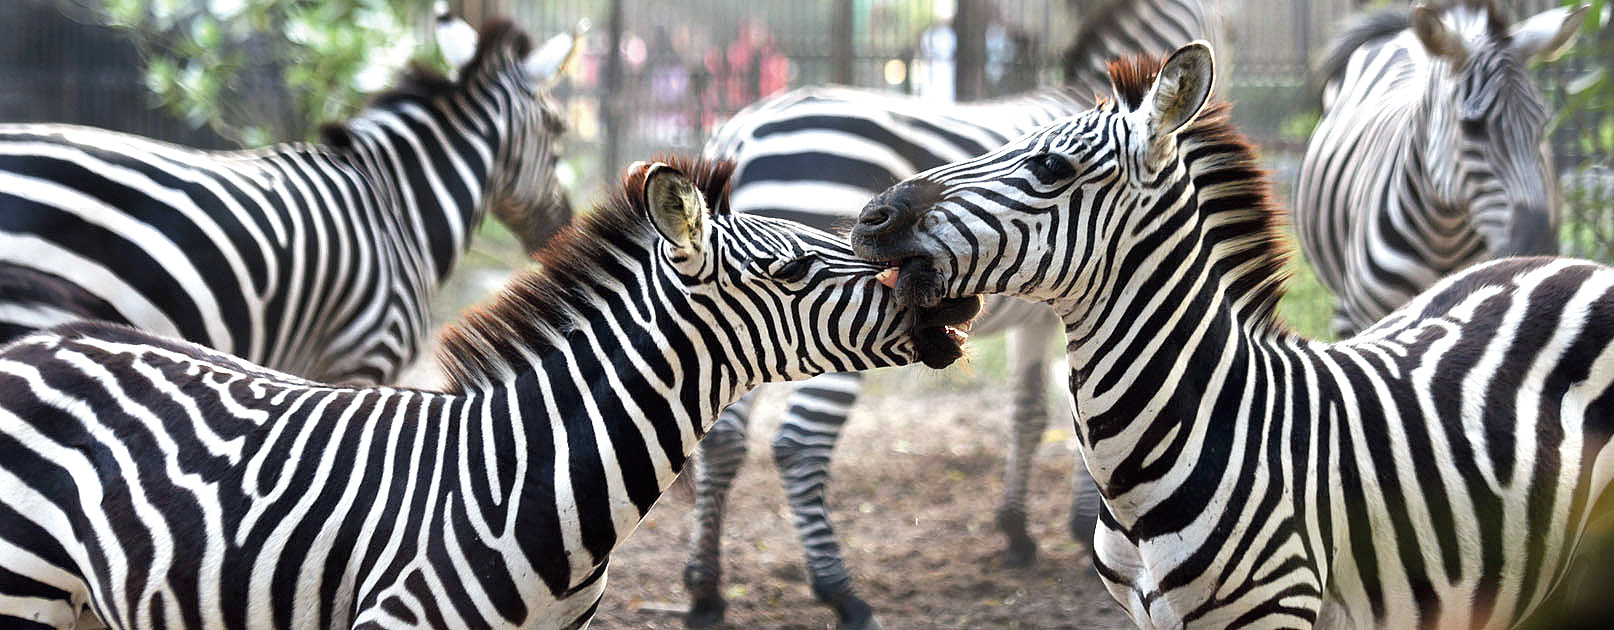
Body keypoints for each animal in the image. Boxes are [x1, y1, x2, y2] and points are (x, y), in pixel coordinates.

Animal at [683, 1, 1223, 627]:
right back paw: (840, 592)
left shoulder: (1037, 315)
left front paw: (1017, 532)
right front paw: (1077, 522)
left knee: (721, 440)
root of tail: (739, 130)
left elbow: (1028, 414)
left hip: (748, 319)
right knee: (798, 444)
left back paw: (705, 591)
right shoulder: (1052, 311)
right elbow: (1056, 415)